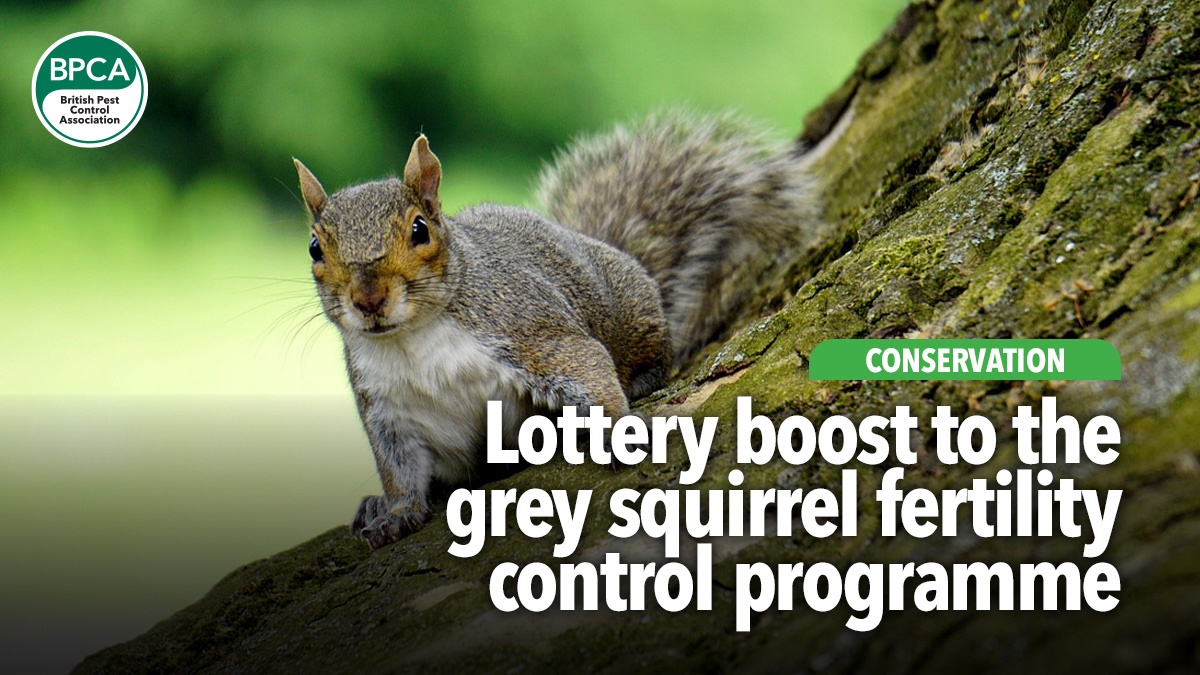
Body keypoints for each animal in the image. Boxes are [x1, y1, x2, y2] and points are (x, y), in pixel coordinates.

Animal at [293, 110, 822, 549]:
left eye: (420, 229)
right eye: (315, 248)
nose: (368, 300)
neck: (413, 340)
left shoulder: (528, 328)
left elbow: (586, 365)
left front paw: (616, 431)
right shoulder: (387, 408)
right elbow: (399, 468)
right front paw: (396, 512)